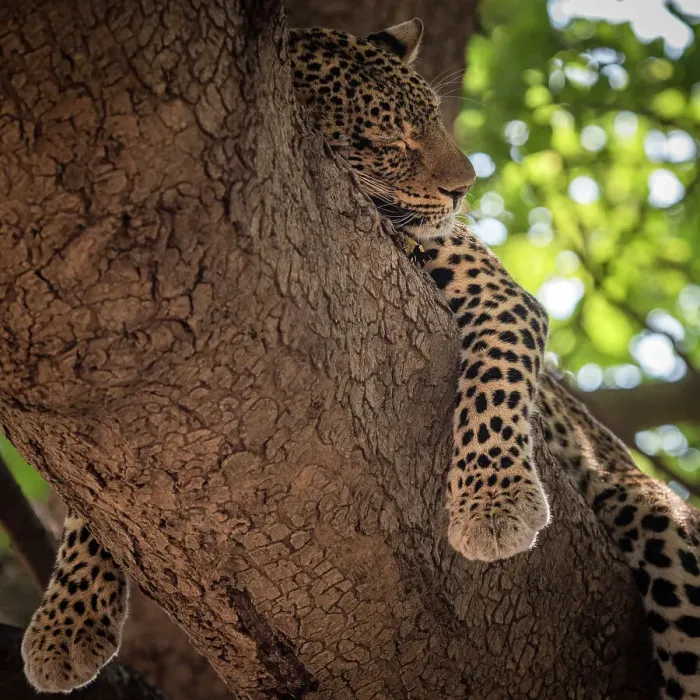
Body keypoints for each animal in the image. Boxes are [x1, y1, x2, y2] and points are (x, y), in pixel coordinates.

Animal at [21, 18, 699, 699]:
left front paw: (493, 503)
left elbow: (495, 383)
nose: (466, 188)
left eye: (435, 118)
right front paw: (66, 621)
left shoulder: (503, 298)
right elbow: (94, 495)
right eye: (386, 141)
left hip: (658, 517)